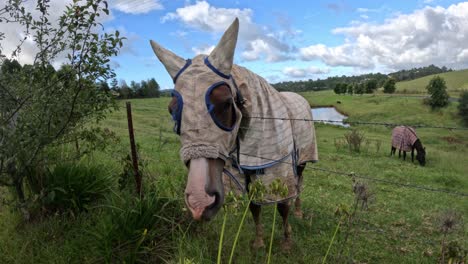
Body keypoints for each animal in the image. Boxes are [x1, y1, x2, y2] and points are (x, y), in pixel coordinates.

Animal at [150, 18, 318, 250]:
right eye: (171, 109)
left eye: (227, 103)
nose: (200, 202)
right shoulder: (246, 172)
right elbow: (254, 206)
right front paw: (259, 241)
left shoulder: (280, 169)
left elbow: (283, 206)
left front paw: (286, 242)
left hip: (301, 159)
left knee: (299, 183)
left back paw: (299, 211)